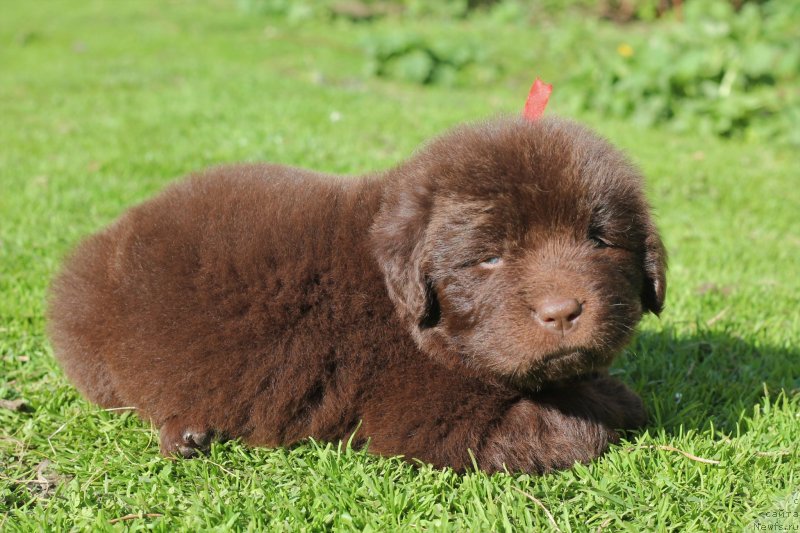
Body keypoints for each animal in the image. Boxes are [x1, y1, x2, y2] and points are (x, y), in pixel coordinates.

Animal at [47, 115, 664, 470]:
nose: (562, 312)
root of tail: (111, 232)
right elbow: (571, 426)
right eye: (489, 258)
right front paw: (608, 401)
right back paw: (186, 434)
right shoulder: (437, 417)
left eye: (599, 239)